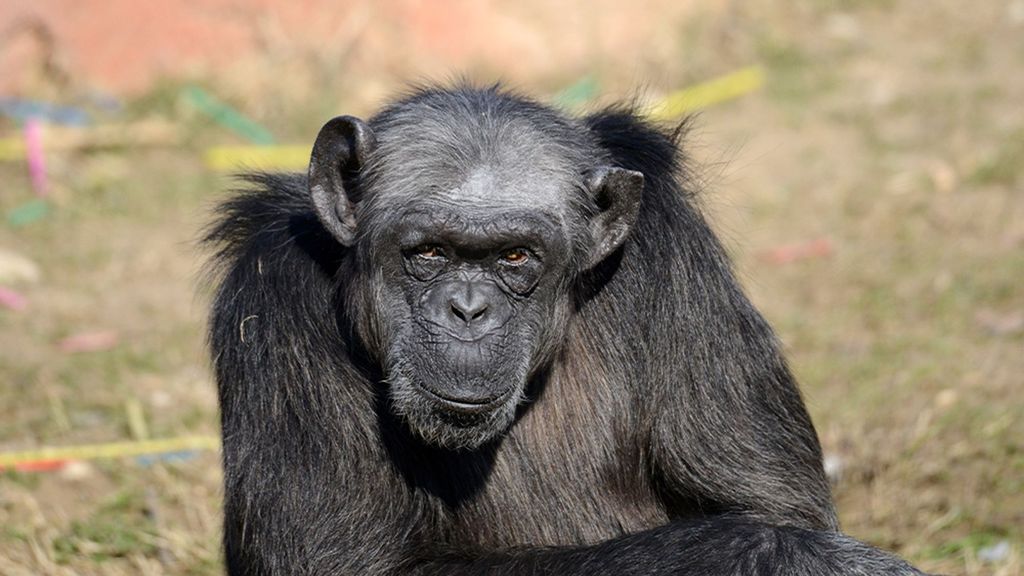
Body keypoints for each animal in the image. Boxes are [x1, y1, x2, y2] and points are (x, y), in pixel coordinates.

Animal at [203, 83, 925, 569]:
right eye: (429, 252)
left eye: (515, 256)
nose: (469, 310)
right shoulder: (275, 299)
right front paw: (774, 554)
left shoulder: (673, 251)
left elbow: (775, 504)